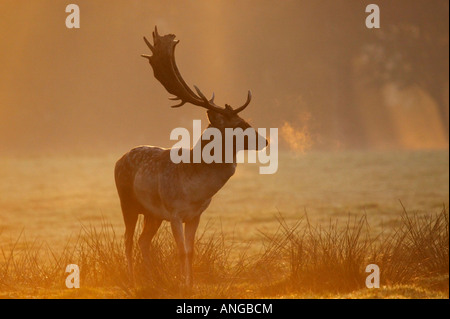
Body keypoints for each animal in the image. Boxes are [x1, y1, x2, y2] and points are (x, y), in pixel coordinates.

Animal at [114, 26, 268, 288]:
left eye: (246, 121)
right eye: (239, 125)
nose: (265, 140)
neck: (195, 190)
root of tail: (119, 159)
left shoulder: (195, 215)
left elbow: (192, 251)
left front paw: (191, 284)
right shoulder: (174, 213)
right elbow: (181, 251)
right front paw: (182, 284)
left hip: (152, 214)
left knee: (143, 241)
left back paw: (151, 280)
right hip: (128, 203)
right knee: (127, 242)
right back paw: (133, 282)